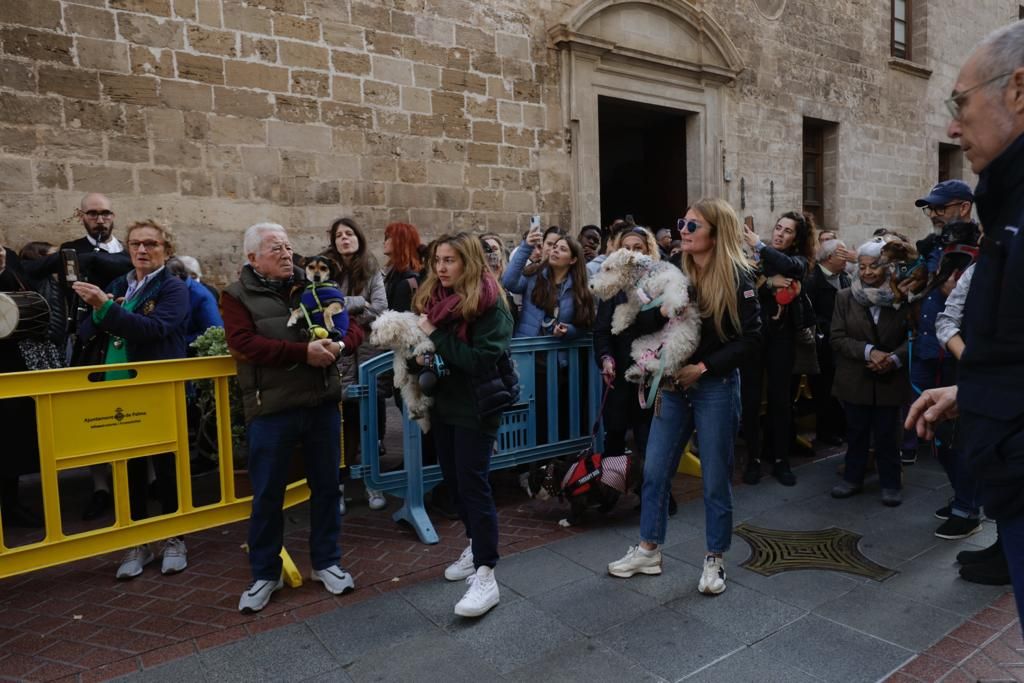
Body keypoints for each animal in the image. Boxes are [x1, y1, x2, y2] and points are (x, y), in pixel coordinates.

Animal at [589, 249, 700, 397]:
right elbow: (623, 309)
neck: (640, 279)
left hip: (678, 340)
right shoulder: (636, 302)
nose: (591, 286)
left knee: (668, 366)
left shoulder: (672, 278)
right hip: (639, 345)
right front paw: (617, 326)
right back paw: (635, 373)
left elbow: (675, 289)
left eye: (608, 268)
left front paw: (677, 306)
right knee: (651, 364)